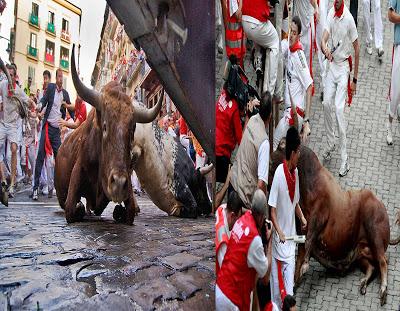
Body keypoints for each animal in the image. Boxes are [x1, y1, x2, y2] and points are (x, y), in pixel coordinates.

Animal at [54, 44, 162, 224]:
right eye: (104, 127)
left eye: (132, 130)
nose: (118, 183)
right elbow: (71, 208)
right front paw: (80, 208)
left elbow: (129, 211)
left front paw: (121, 210)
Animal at [268, 146, 400, 308]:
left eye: (282, 146)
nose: (269, 161)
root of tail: (379, 203)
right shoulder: (301, 228)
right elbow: (300, 255)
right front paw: (294, 283)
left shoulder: (319, 215)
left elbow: (309, 240)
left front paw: (304, 267)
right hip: (362, 250)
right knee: (372, 266)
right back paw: (362, 283)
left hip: (375, 232)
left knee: (383, 260)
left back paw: (383, 290)